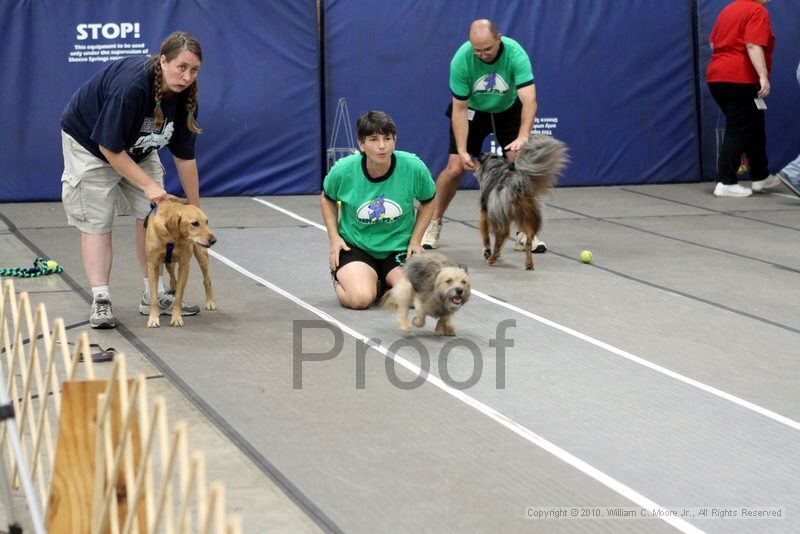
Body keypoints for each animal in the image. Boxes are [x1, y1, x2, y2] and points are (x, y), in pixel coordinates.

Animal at [145, 198, 217, 326]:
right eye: (195, 223)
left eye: (207, 221)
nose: (214, 240)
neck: (171, 238)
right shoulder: (152, 265)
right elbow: (153, 297)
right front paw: (153, 319)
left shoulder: (184, 265)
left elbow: (179, 296)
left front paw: (176, 318)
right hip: (168, 264)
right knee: (173, 279)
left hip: (201, 255)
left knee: (207, 280)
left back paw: (210, 302)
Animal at [476, 136, 568, 272]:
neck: (495, 165)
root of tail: (517, 185)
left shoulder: (485, 212)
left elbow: (485, 234)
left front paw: (486, 251)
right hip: (529, 217)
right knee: (528, 241)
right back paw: (529, 263)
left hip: (501, 218)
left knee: (501, 238)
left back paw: (492, 258)